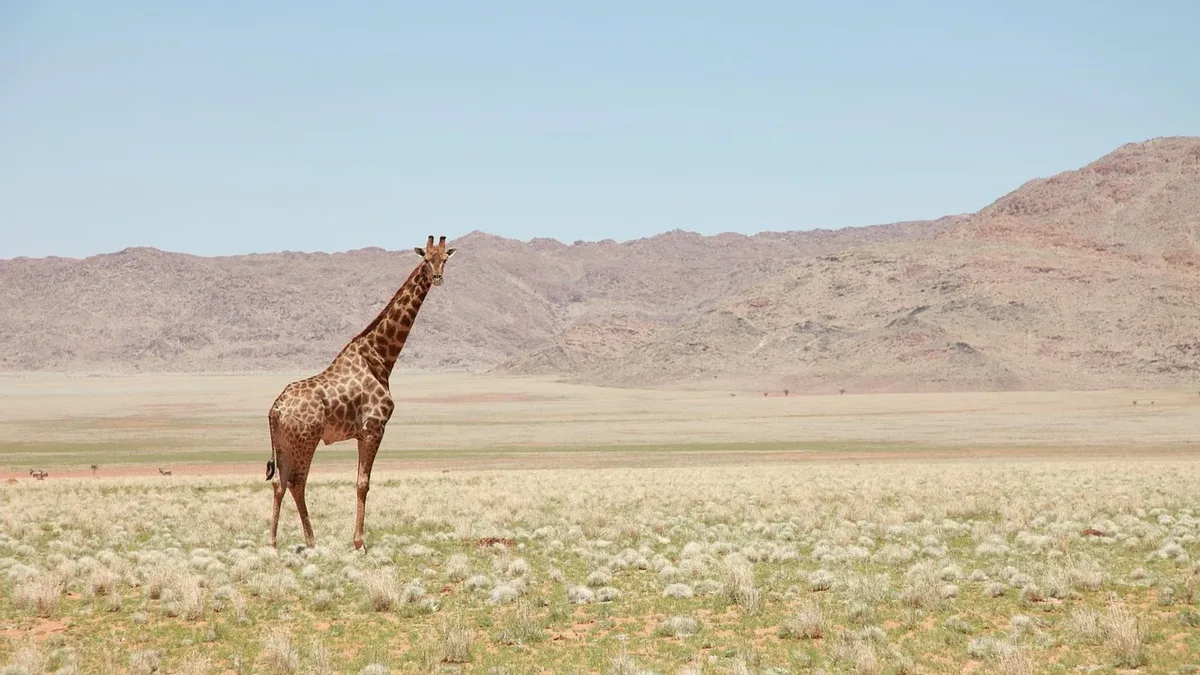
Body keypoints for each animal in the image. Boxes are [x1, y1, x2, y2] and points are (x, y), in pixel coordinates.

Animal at [265, 235, 457, 550]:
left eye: (445, 259)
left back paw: (274, 542)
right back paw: (310, 540)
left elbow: (360, 481)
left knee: (279, 483)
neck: (380, 357)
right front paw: (359, 543)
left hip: (284, 443)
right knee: (297, 482)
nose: (438, 278)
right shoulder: (374, 428)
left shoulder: (360, 433)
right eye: (426, 259)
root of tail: (275, 409)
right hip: (305, 440)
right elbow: (363, 483)